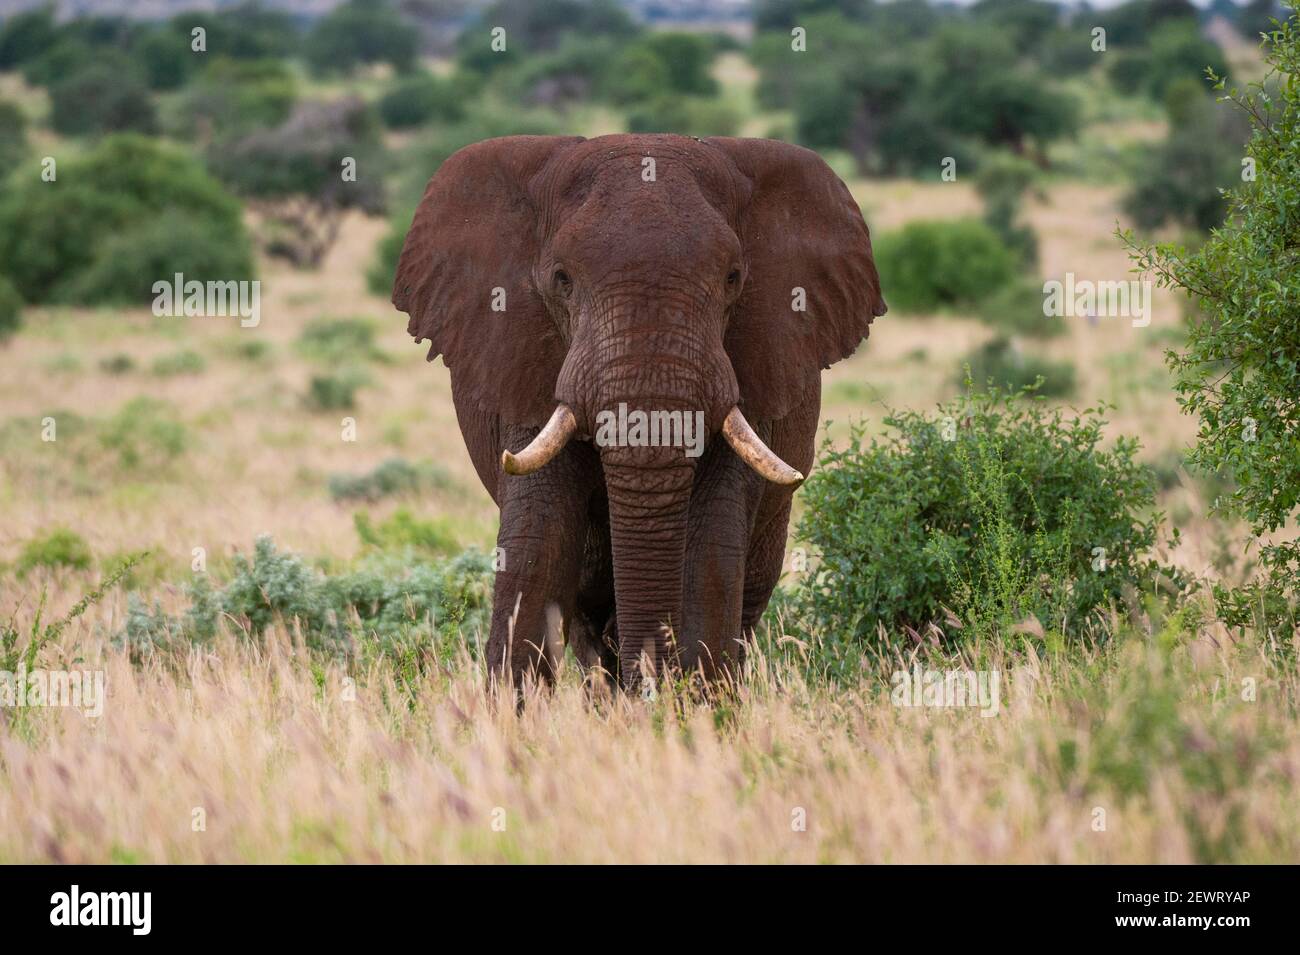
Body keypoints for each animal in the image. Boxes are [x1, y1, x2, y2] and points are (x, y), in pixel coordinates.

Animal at [392, 134, 883, 691]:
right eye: (561, 279)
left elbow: (710, 550)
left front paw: (696, 707)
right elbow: (536, 545)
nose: (648, 685)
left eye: (733, 278)